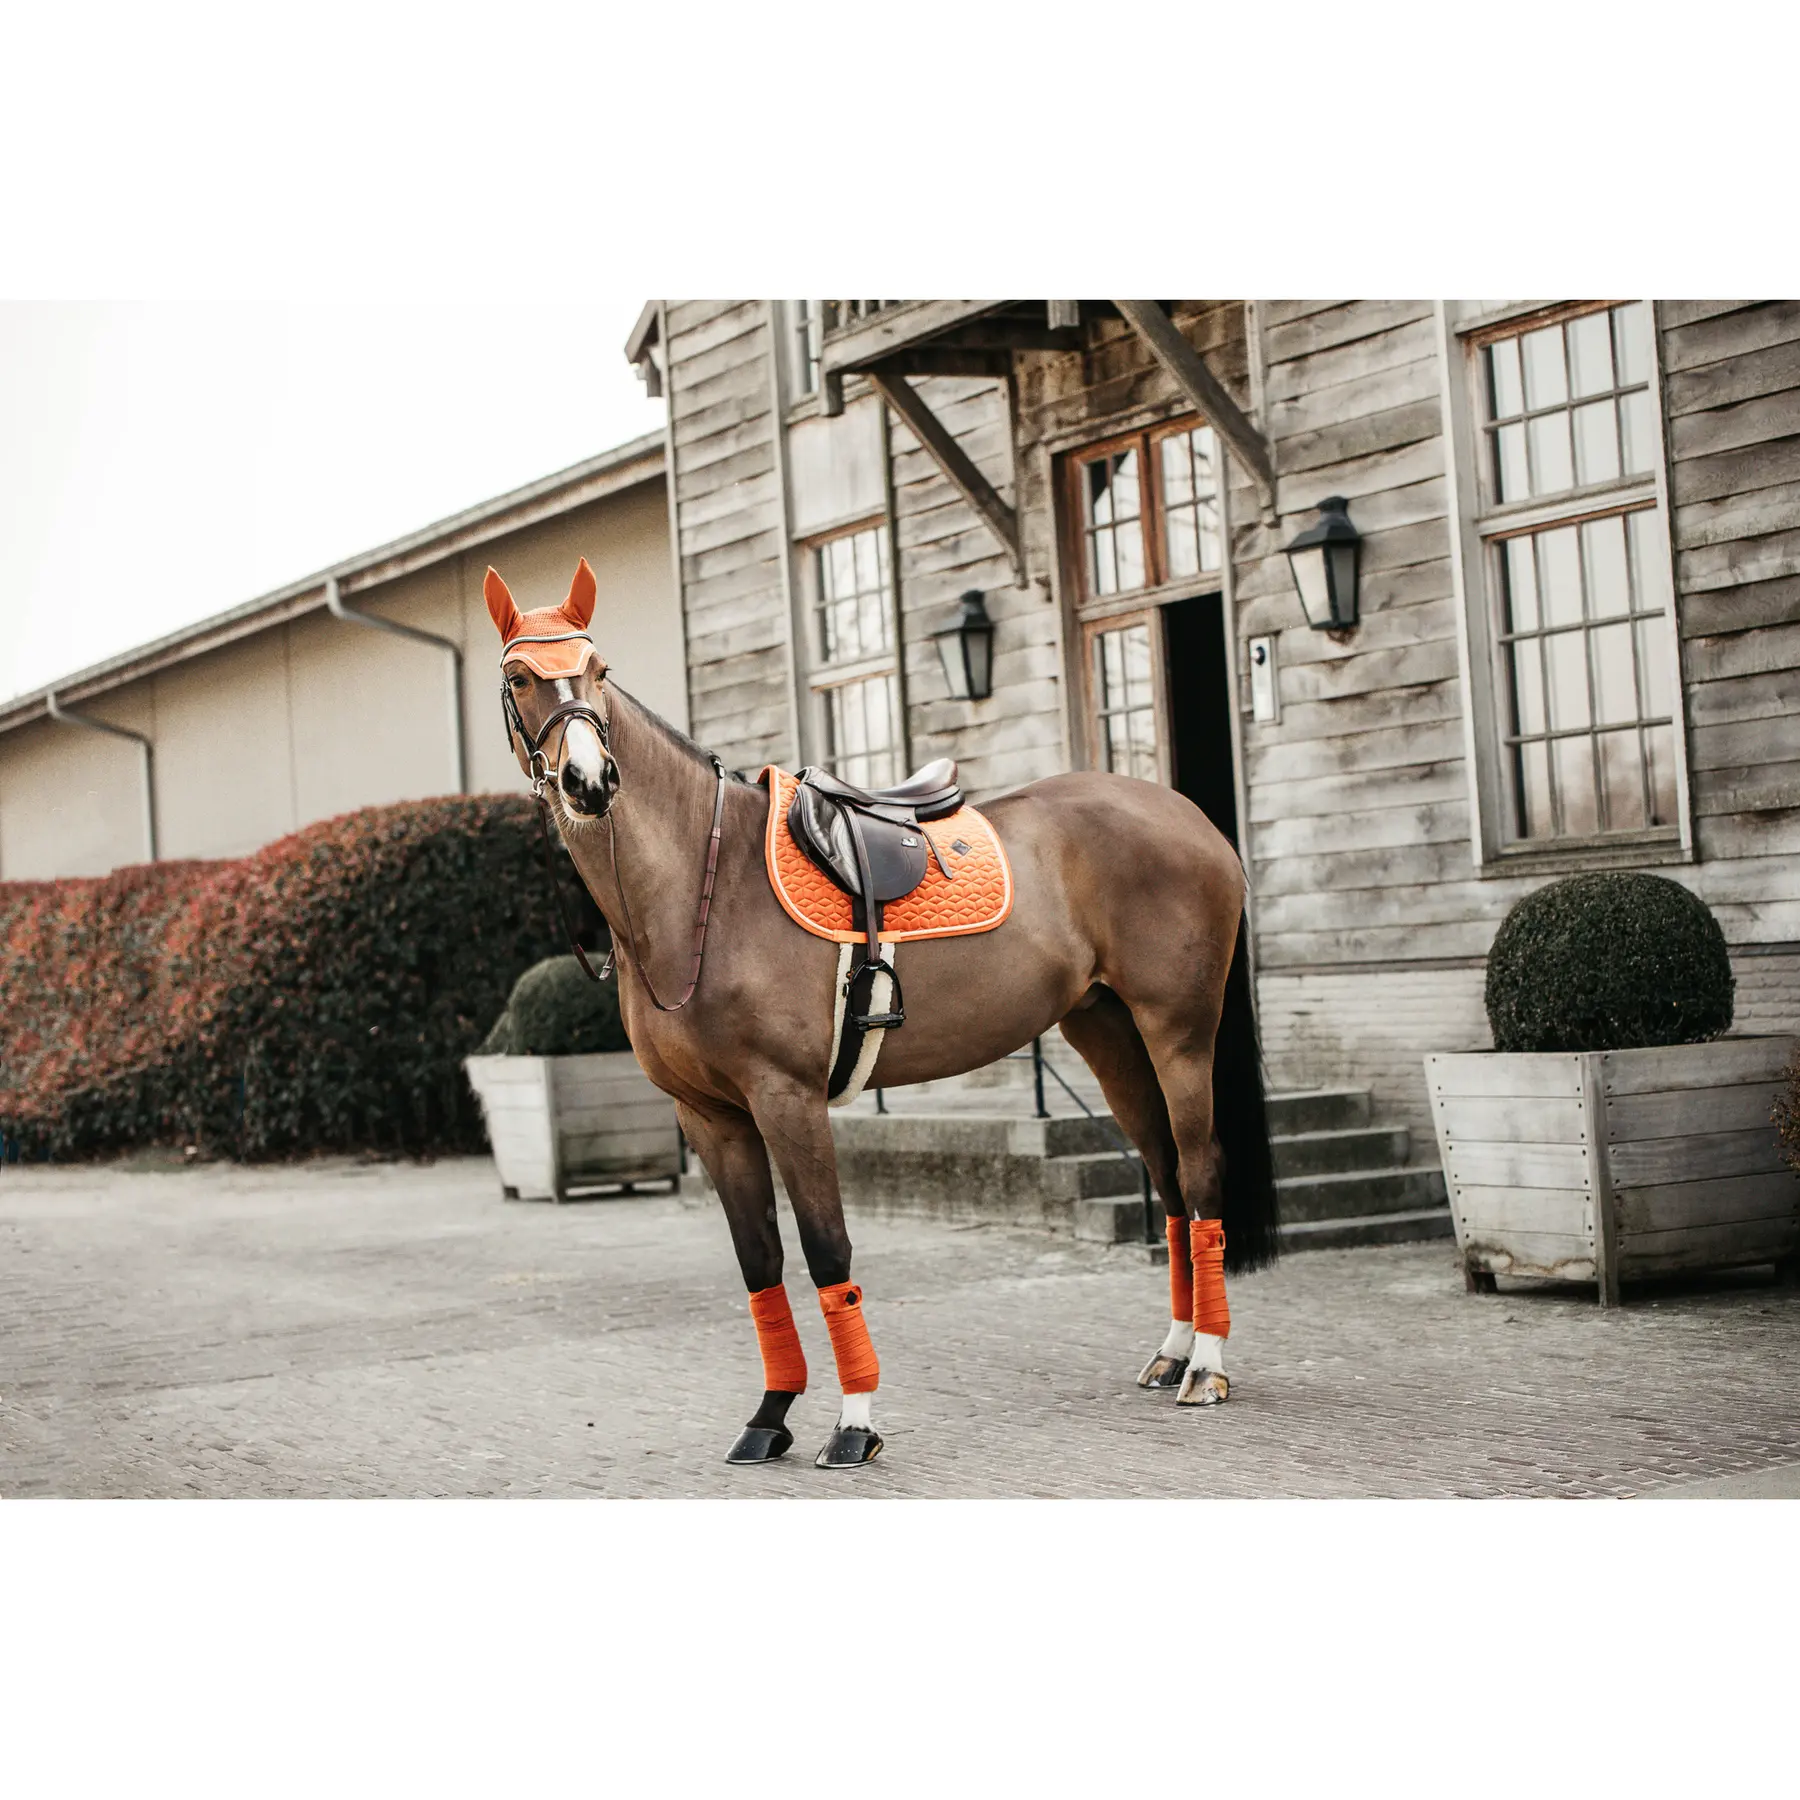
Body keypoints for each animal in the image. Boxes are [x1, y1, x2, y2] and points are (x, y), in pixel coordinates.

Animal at [485, 558, 1277, 1469]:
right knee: (1171, 1182)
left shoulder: (787, 1099)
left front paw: (854, 1423)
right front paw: (769, 1416)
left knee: (1202, 1170)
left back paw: (1207, 1368)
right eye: (519, 677)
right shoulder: (709, 1116)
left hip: (1178, 1029)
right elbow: (759, 1261)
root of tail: (1191, 818)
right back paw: (1174, 1351)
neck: (700, 887)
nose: (590, 782)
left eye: (600, 669)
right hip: (1109, 1034)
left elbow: (827, 1248)